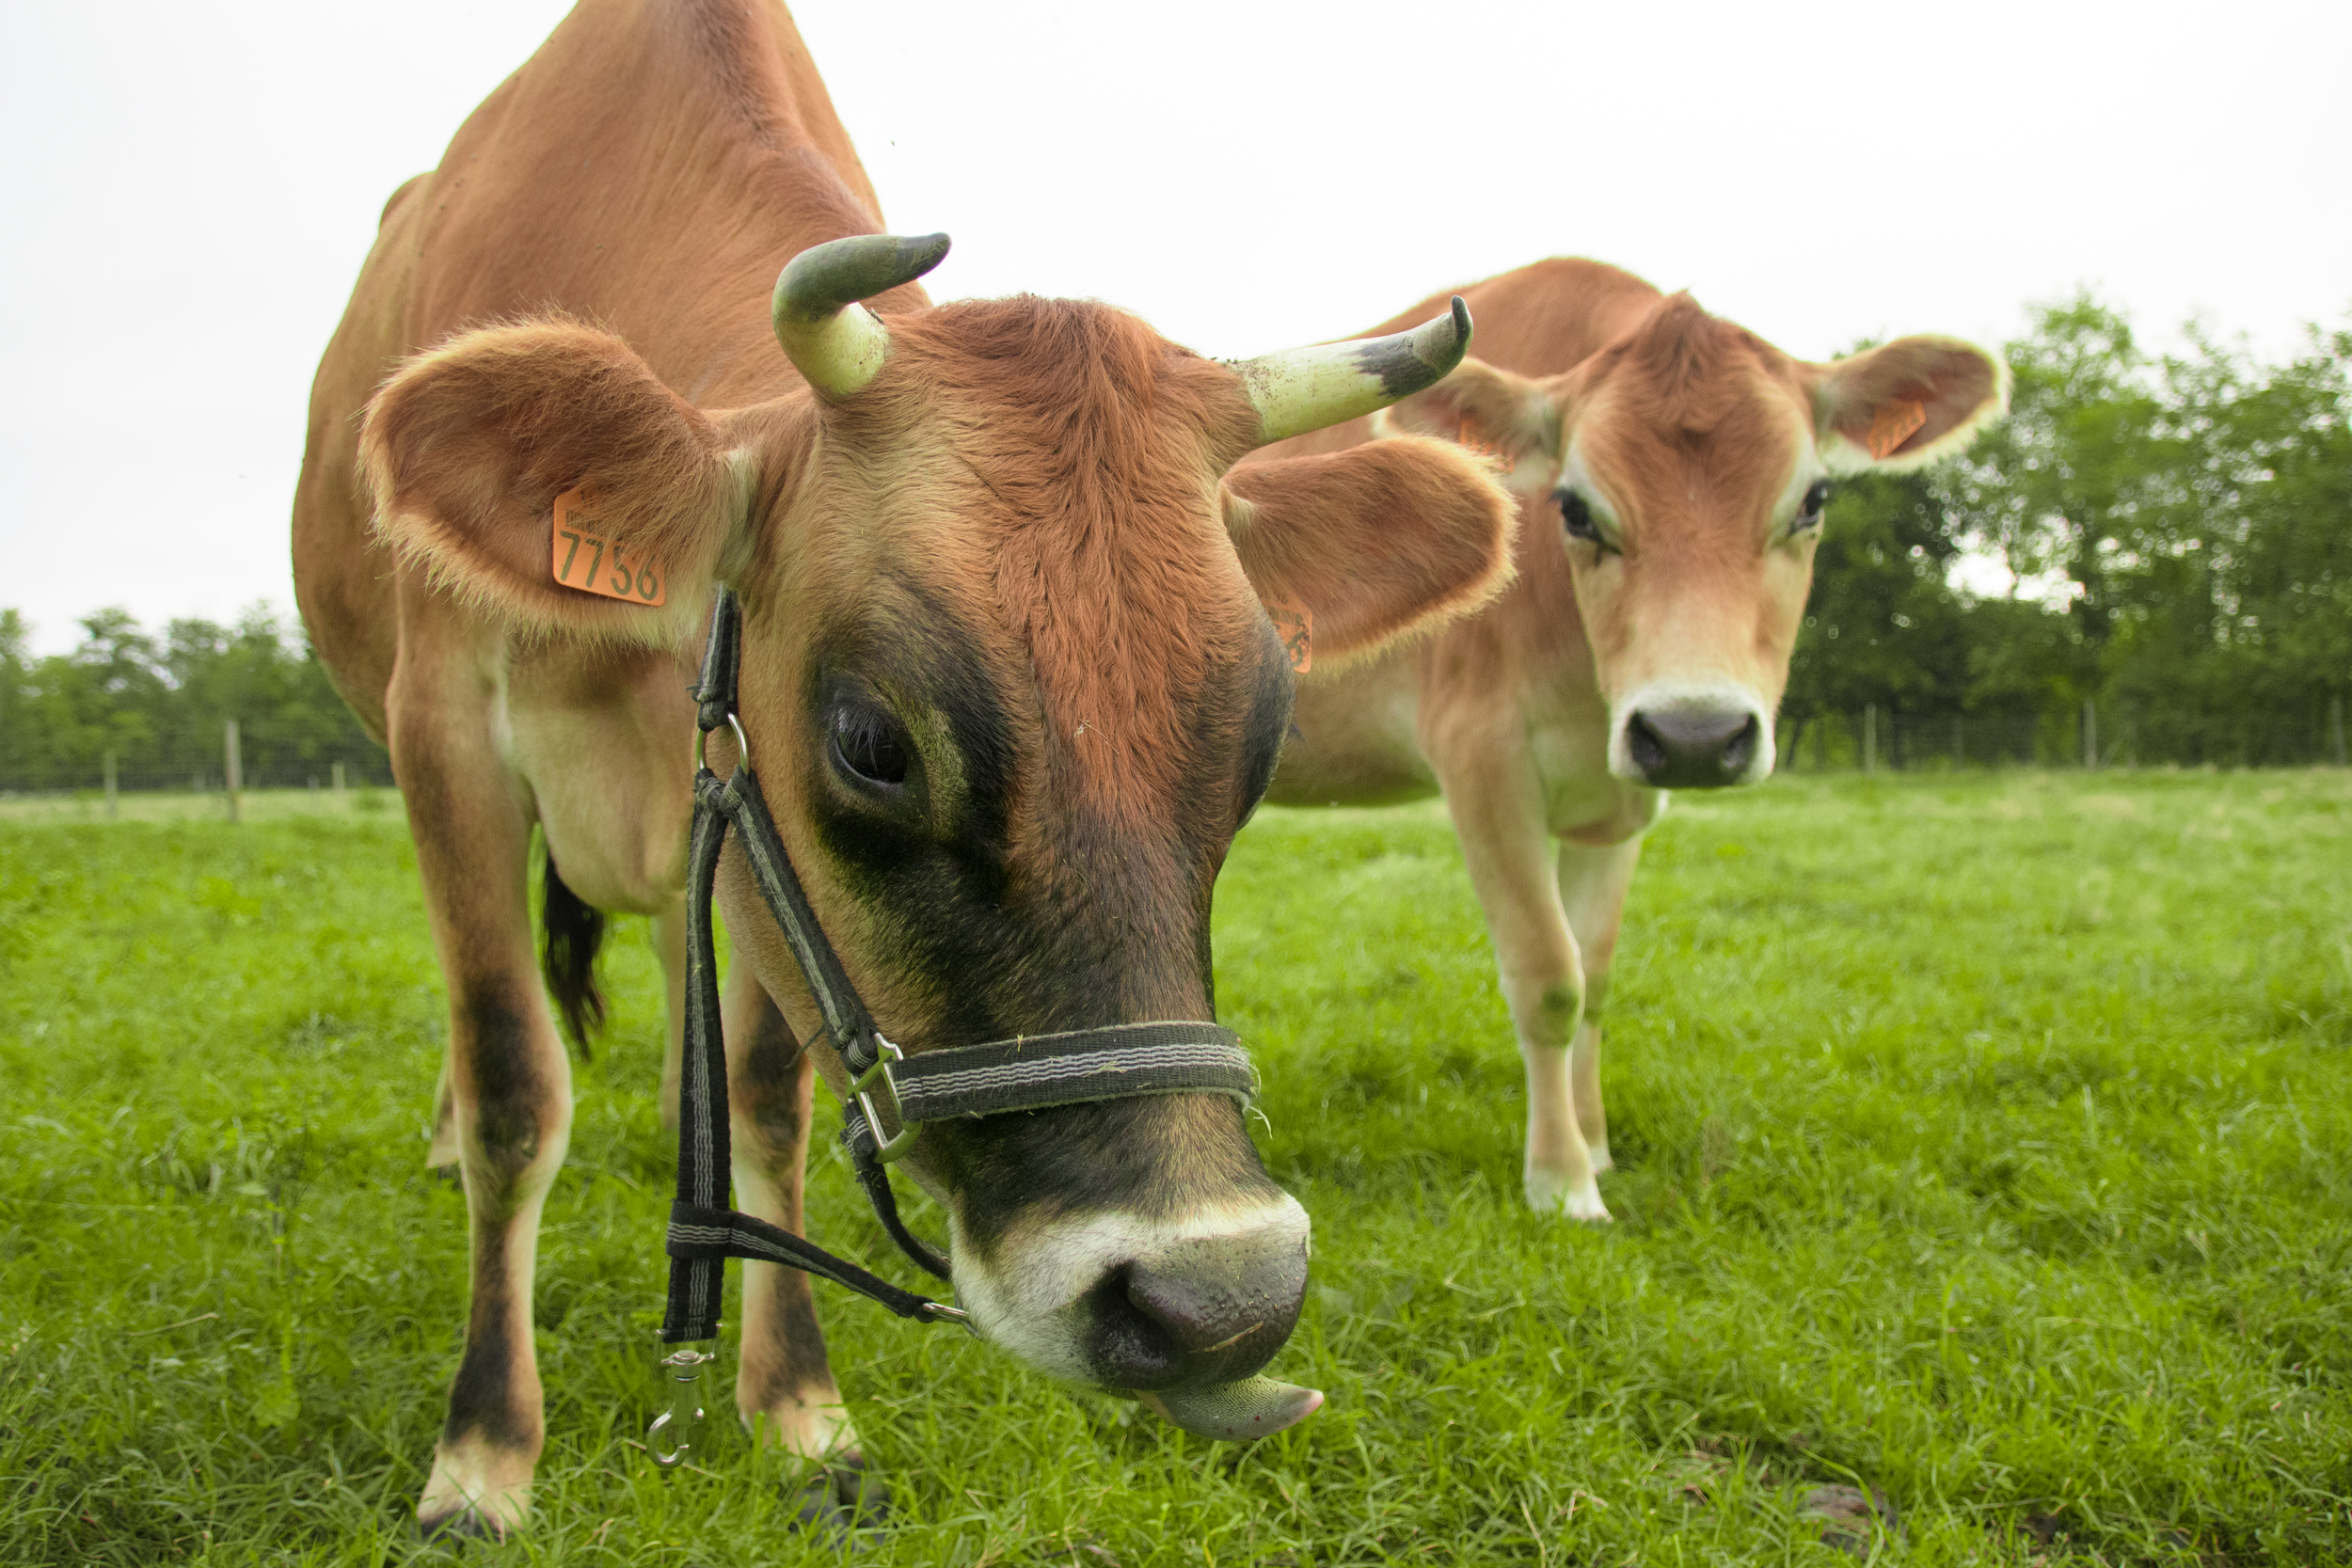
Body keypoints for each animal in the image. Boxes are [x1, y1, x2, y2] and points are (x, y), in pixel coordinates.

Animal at [291, 0, 1518, 1538]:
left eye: (1261, 731)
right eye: (871, 739)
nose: (1218, 1300)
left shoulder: (742, 860)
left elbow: (765, 1099)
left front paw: (800, 1409)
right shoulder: (442, 731)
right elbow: (518, 1086)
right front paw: (482, 1456)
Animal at [1255, 257, 2007, 1223]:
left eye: (1813, 500)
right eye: (1574, 509)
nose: (1696, 732)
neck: (1587, 684)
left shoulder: (1621, 794)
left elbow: (1597, 973)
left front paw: (1597, 1144)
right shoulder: (1481, 758)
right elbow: (1548, 976)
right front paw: (1562, 1181)